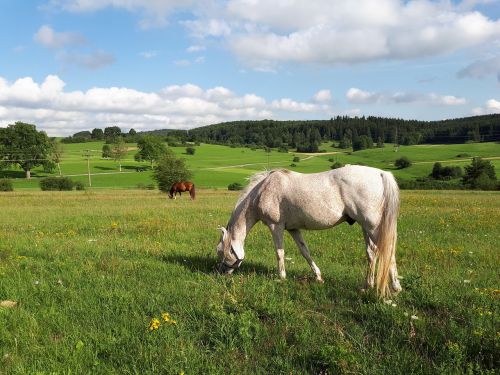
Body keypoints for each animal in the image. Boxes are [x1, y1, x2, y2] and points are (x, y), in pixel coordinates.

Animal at [216, 166, 402, 298]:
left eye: (220, 251)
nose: (221, 273)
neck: (263, 190)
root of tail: (380, 173)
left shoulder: (276, 226)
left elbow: (279, 253)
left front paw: (281, 277)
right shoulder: (293, 229)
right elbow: (305, 252)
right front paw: (318, 277)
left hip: (372, 226)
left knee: (387, 251)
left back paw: (395, 287)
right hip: (366, 227)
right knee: (372, 253)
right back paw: (367, 286)